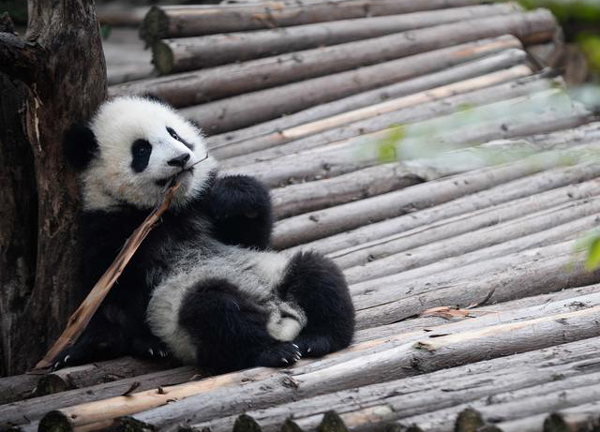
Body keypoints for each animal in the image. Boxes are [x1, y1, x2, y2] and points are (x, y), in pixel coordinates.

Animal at [58, 96, 354, 372]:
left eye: (175, 134)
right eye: (141, 149)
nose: (180, 159)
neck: (168, 210)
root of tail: (279, 317)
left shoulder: (201, 208)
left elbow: (252, 236)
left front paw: (231, 196)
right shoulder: (110, 231)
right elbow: (115, 297)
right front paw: (139, 344)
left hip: (275, 273)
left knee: (317, 274)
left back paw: (317, 338)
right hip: (187, 305)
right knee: (216, 312)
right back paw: (273, 351)